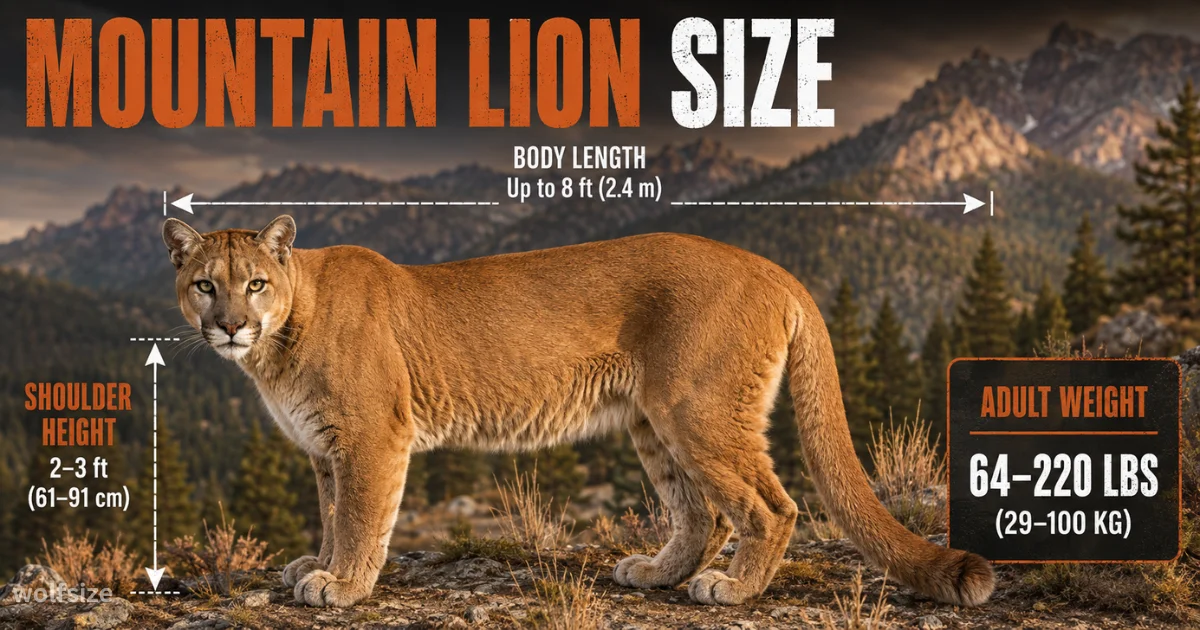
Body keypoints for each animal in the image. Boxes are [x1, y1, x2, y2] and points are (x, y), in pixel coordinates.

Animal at [162, 215, 993, 608]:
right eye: (206, 284)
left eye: (256, 283)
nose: (229, 324)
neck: (280, 342)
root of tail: (767, 265)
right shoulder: (323, 449)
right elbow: (334, 515)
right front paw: (318, 564)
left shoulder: (370, 438)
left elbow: (363, 517)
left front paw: (341, 585)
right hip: (652, 421)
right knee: (701, 511)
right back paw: (657, 572)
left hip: (697, 408)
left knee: (769, 505)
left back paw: (731, 589)